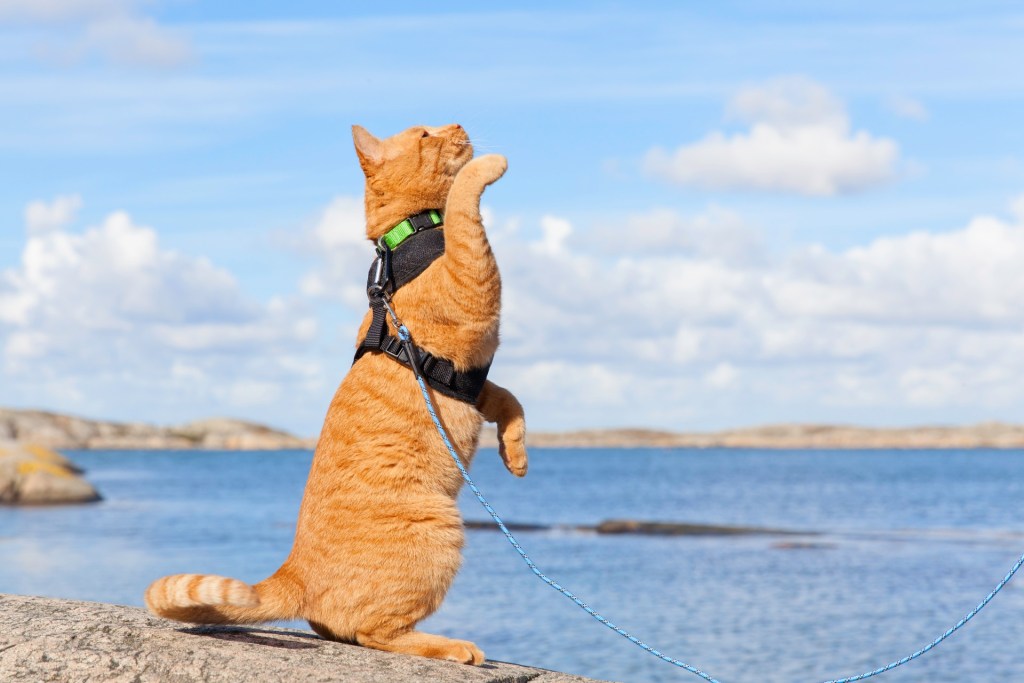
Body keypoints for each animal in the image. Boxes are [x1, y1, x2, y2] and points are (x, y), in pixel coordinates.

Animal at [144, 121, 528, 663]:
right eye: (426, 133)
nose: (458, 125)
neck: (410, 234)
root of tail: (294, 571)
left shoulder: (470, 378)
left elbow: (509, 398)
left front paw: (515, 454)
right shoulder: (471, 287)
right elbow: (464, 207)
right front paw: (487, 165)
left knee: (337, 627)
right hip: (439, 530)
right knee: (375, 632)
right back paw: (450, 645)